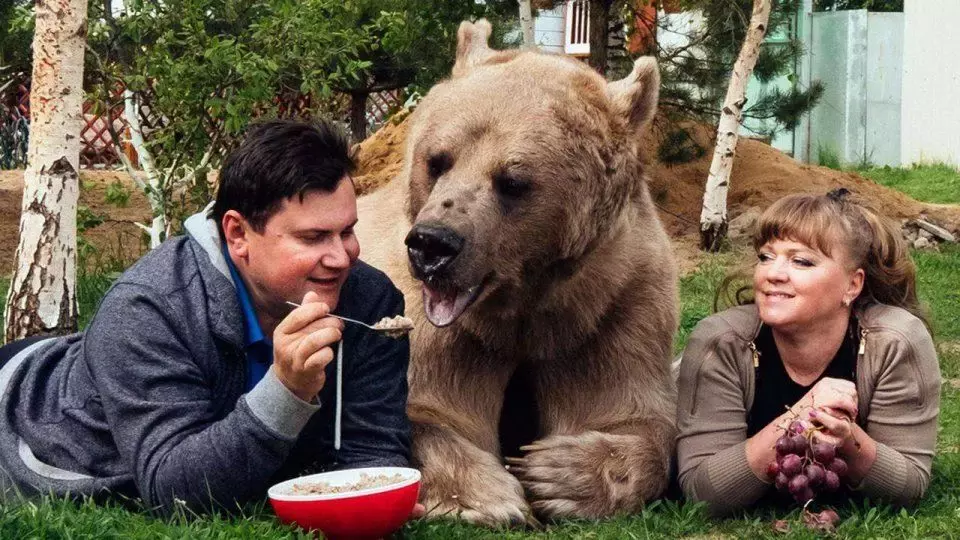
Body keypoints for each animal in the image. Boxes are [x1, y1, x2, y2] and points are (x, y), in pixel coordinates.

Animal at [356, 20, 680, 524]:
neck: (524, 308)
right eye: (437, 160)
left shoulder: (616, 304)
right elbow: (424, 407)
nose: (433, 245)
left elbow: (631, 414)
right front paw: (488, 496)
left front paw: (556, 474)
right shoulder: (426, 318)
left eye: (512, 181)